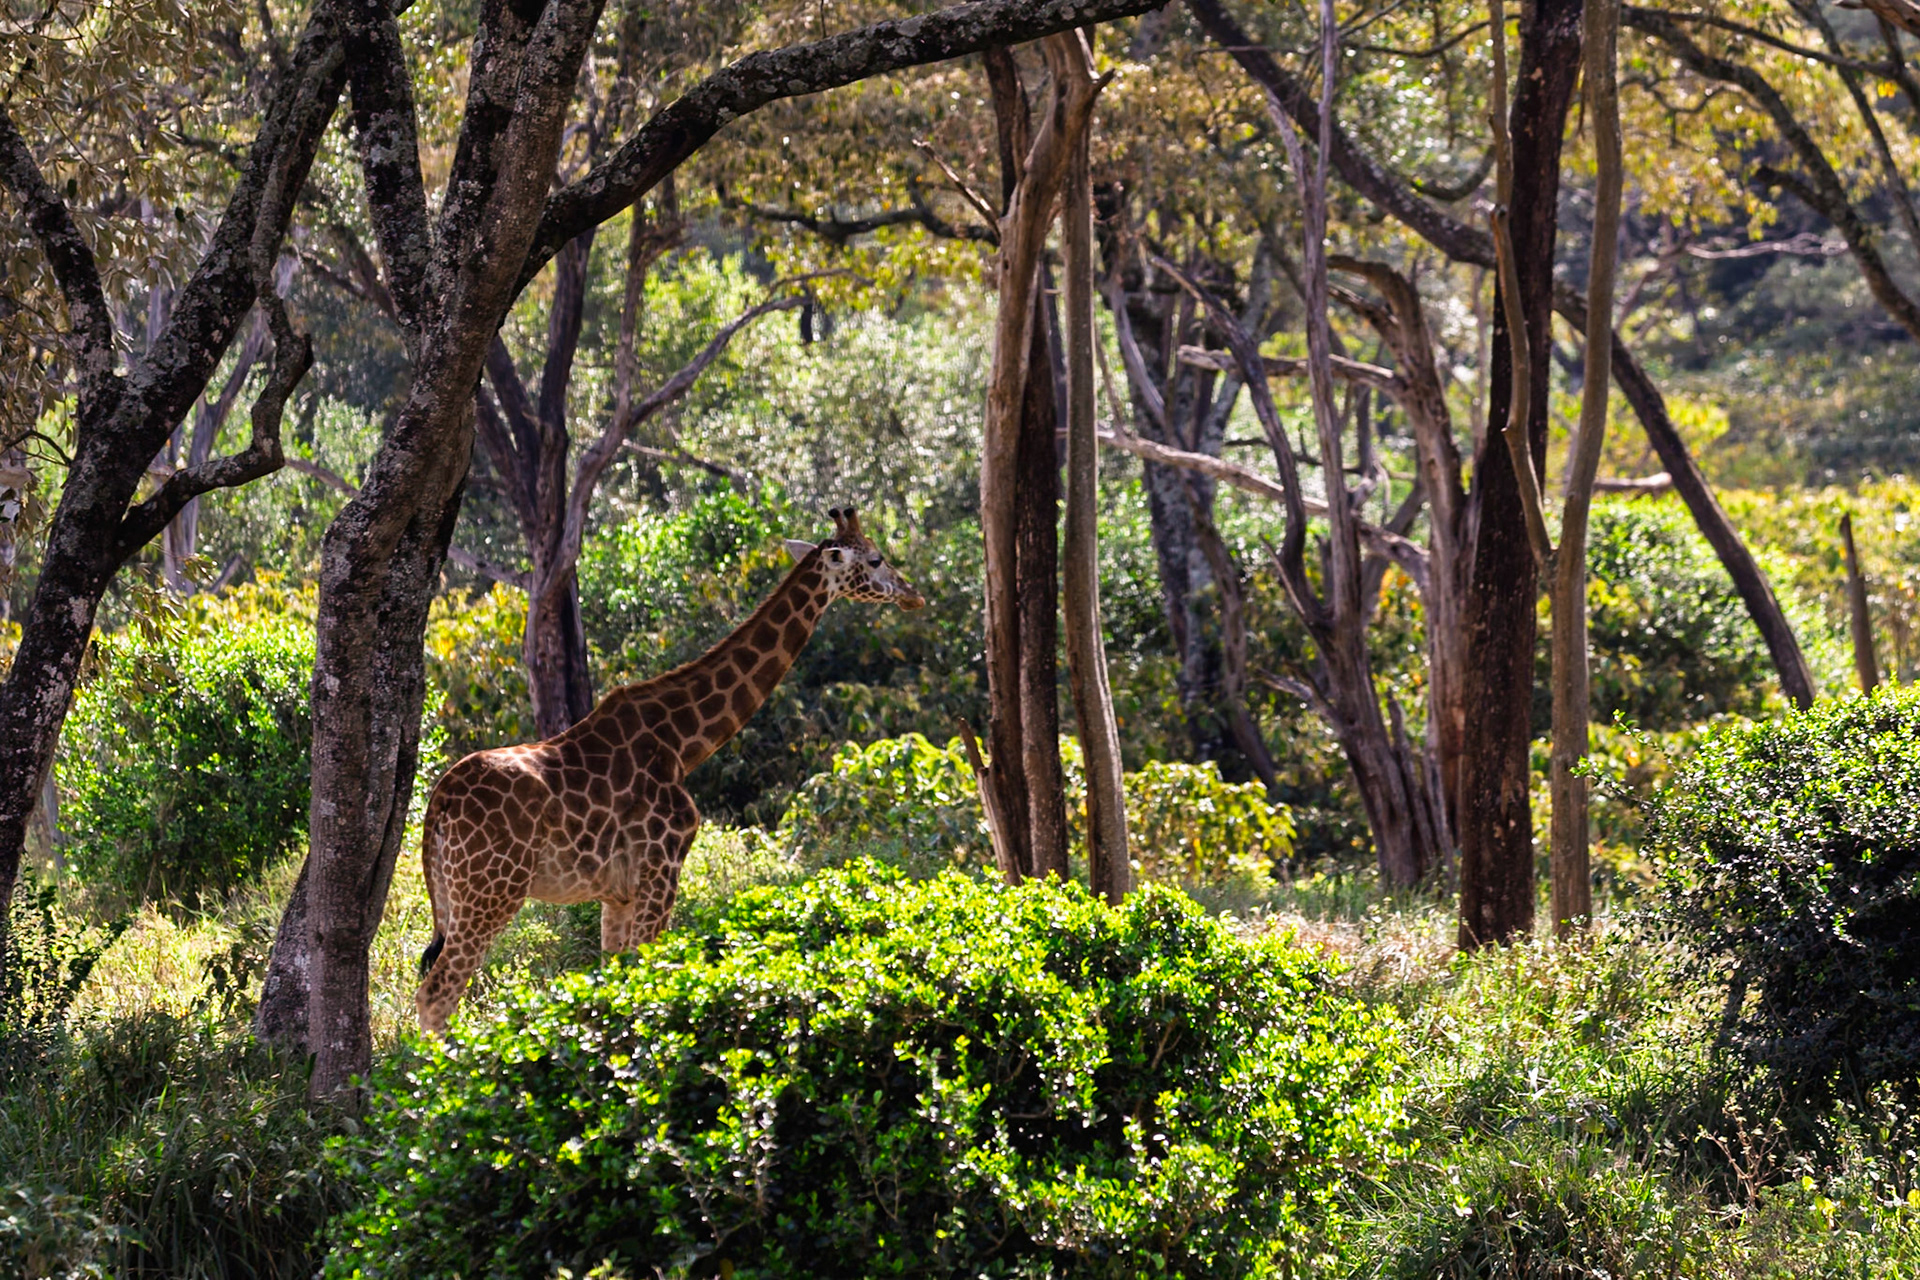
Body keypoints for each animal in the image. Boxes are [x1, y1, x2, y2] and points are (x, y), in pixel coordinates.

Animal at [413, 506, 923, 1033]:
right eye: (876, 558)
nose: (914, 595)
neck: (683, 741)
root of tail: (438, 803)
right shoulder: (662, 868)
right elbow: (647, 976)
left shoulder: (617, 893)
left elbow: (613, 982)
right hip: (491, 890)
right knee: (437, 994)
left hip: (455, 894)